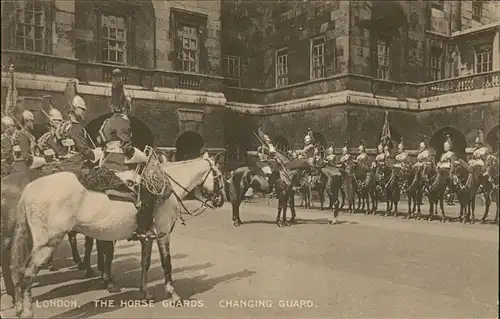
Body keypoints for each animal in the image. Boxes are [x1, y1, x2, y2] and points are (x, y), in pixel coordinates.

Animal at [9, 154, 225, 318]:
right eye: (221, 176)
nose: (221, 200)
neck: (164, 185)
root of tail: (29, 189)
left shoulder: (147, 237)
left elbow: (145, 263)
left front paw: (146, 293)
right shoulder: (163, 234)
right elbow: (167, 264)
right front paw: (173, 296)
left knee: (19, 272)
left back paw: (20, 307)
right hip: (46, 244)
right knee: (27, 274)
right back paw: (27, 311)